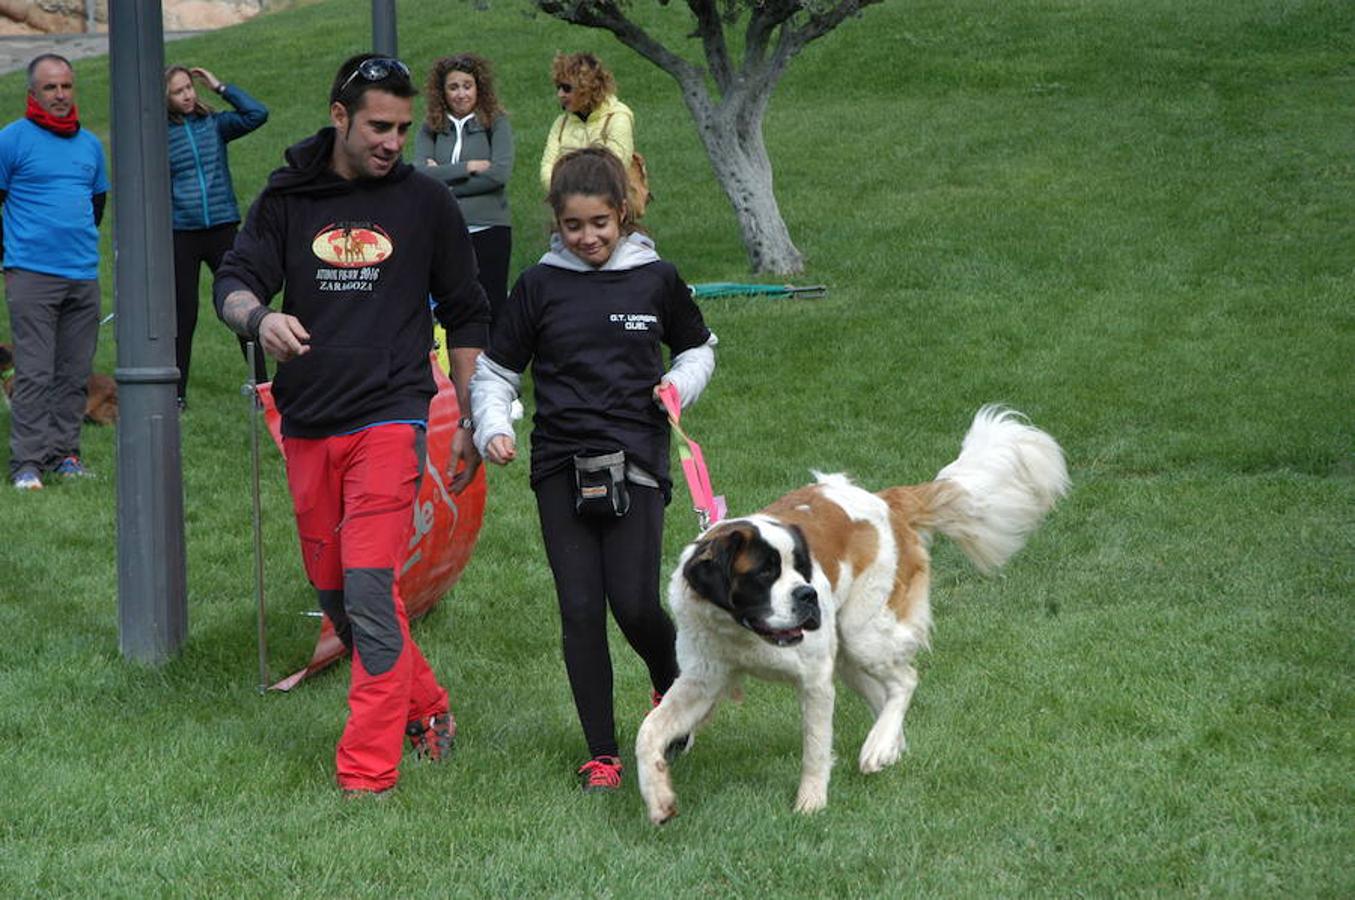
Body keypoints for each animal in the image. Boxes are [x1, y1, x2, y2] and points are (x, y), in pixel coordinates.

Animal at [634, 406, 1067, 824]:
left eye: (803, 568)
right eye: (764, 573)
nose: (808, 594)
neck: (741, 631)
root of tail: (886, 500)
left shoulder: (814, 680)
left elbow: (814, 746)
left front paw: (810, 804)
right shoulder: (702, 680)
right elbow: (649, 730)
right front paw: (658, 799)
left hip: (864, 633)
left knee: (905, 680)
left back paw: (877, 747)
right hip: (847, 655)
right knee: (885, 691)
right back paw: (887, 747)